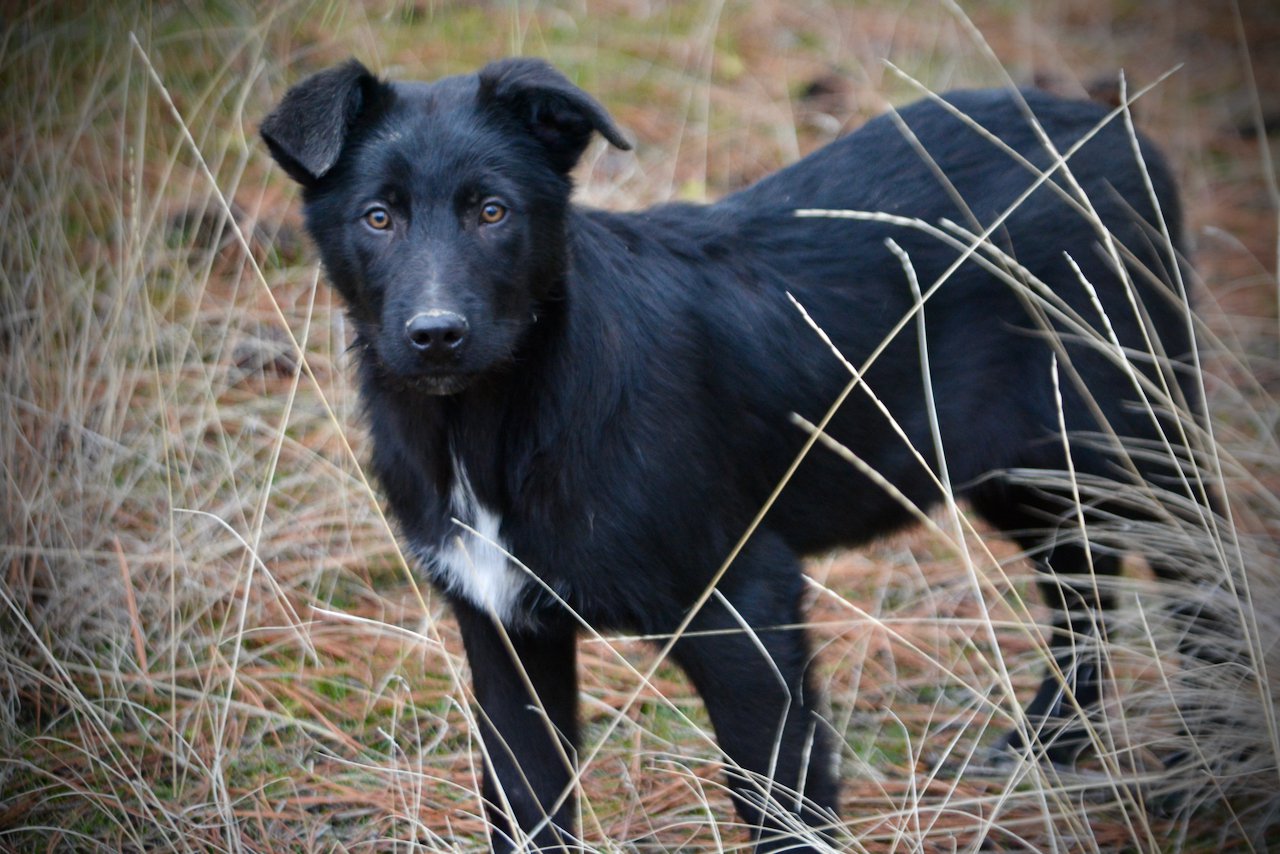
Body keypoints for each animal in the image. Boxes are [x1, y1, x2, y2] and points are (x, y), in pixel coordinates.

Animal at [264, 56, 1203, 850]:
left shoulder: (745, 606)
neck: (493, 424)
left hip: (1133, 431)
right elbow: (529, 808)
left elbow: (784, 810)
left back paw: (1192, 770)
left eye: (493, 212)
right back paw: (1050, 744)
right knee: (1085, 585)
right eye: (377, 217)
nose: (436, 335)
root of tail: (1115, 128)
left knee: (1192, 573)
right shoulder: (503, 636)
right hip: (1023, 468)